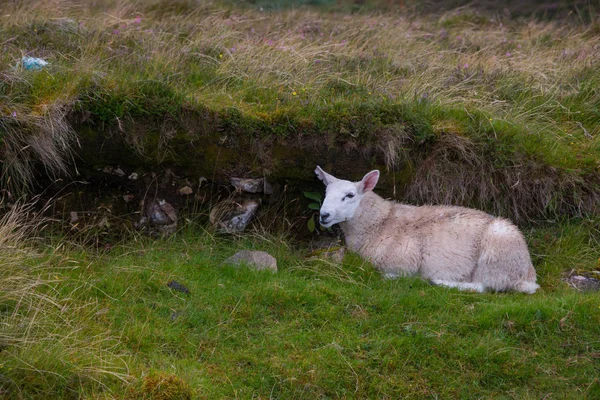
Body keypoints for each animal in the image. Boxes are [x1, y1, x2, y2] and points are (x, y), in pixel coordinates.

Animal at [314, 166, 540, 294]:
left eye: (350, 195)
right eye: (325, 192)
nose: (324, 215)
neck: (379, 223)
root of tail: (528, 274)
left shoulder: (404, 260)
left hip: (497, 256)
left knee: (487, 286)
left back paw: (439, 282)